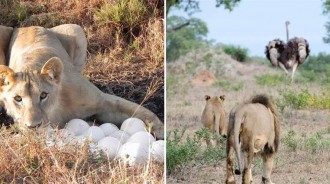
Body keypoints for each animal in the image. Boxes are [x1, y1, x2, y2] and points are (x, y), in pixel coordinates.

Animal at [0, 24, 164, 139]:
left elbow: (140, 111)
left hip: (76, 30)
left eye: (43, 95)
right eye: (18, 98)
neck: (56, 109)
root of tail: (25, 26)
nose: (33, 127)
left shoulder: (102, 100)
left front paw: (160, 131)